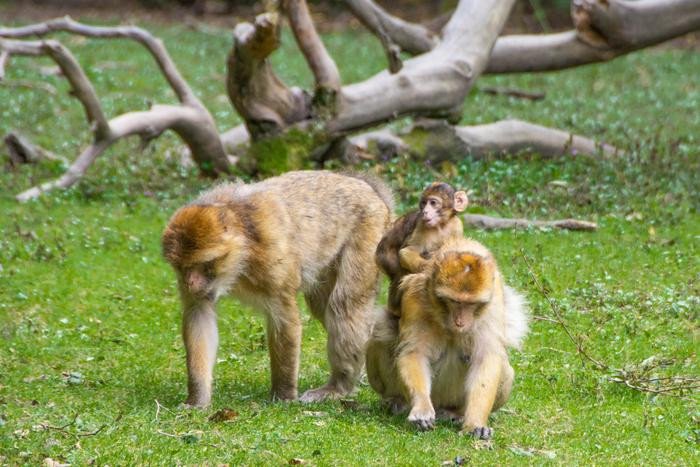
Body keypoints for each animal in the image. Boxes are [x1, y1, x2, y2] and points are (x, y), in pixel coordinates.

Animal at [163, 171, 394, 406]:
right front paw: (197, 399)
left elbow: (283, 317)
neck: (242, 253)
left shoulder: (272, 258)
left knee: (344, 304)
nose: (190, 283)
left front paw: (283, 395)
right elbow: (198, 314)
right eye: (182, 267)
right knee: (322, 306)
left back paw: (338, 387)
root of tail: (369, 188)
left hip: (369, 231)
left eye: (204, 264)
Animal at [364, 238, 528, 438]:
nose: (460, 322)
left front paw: (475, 424)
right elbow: (414, 352)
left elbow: (487, 357)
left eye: (471, 304)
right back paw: (397, 401)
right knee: (383, 331)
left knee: (504, 367)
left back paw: (456, 413)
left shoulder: (494, 299)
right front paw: (421, 408)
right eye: (454, 301)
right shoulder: (416, 296)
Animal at [374, 181, 468, 316]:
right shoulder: (421, 225)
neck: (441, 225)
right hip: (384, 259)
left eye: (433, 203)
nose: (425, 211)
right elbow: (407, 252)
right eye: (424, 203)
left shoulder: (456, 225)